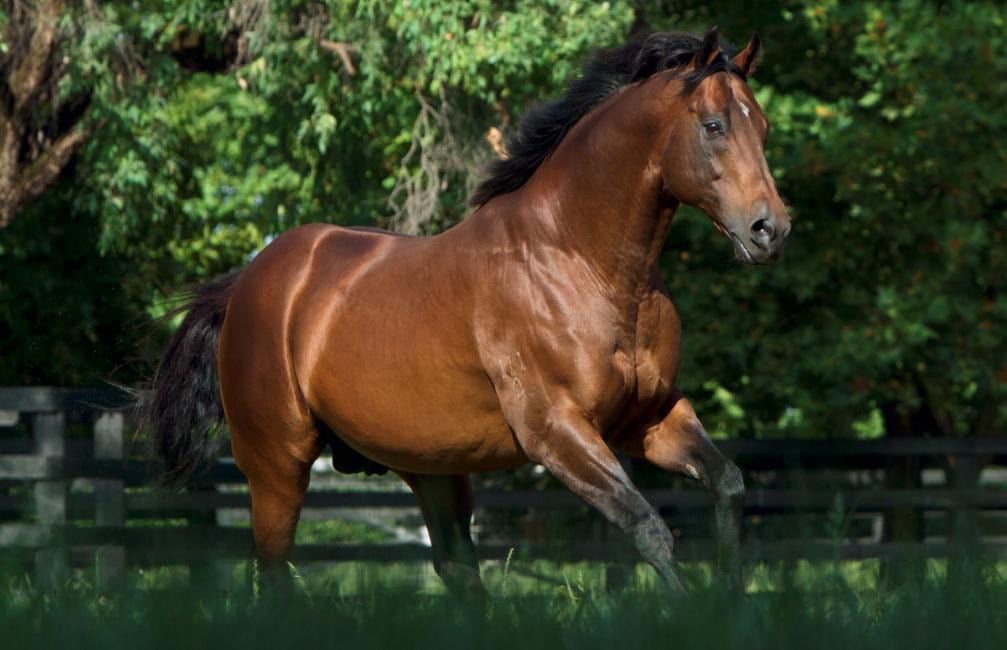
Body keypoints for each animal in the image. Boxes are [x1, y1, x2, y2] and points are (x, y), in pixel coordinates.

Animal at [141, 27, 790, 596]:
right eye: (713, 125)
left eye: (761, 126)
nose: (770, 230)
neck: (583, 263)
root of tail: (248, 284)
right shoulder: (558, 432)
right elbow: (650, 529)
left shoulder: (646, 418)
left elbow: (729, 485)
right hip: (277, 467)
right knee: (274, 575)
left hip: (432, 469)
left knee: (458, 574)